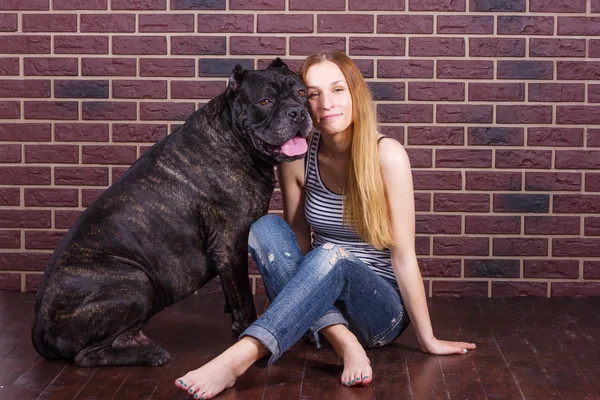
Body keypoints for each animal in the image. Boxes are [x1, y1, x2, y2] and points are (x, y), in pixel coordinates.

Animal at [32, 57, 312, 368]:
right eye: (264, 101)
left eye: (302, 93)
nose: (297, 112)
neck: (234, 140)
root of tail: (40, 329)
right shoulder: (230, 242)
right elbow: (243, 295)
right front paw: (245, 327)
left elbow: (232, 289)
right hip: (136, 284)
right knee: (86, 355)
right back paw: (151, 354)